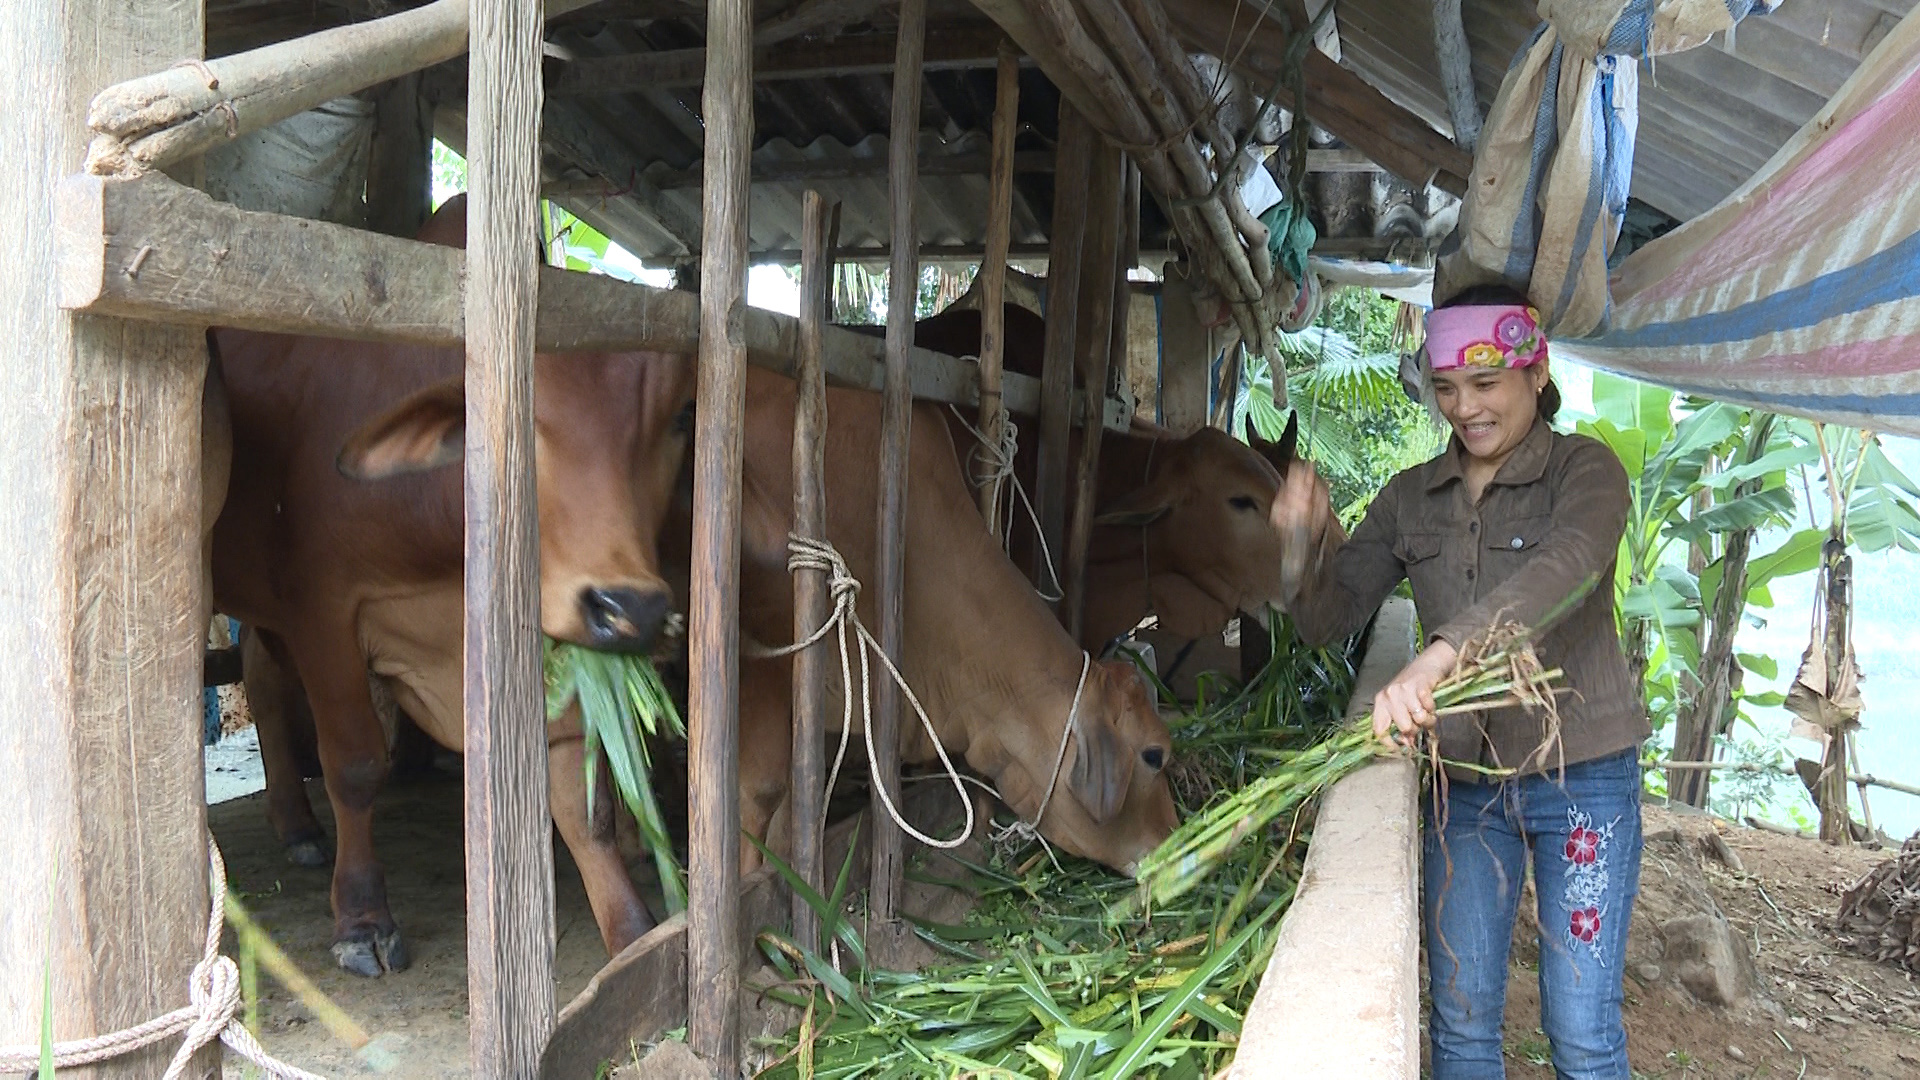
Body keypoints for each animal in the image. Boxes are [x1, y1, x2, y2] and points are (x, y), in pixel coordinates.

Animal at [214, 195, 695, 976]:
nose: (630, 608)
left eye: (680, 417)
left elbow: (578, 799)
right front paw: (362, 918)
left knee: (257, 670)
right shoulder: (321, 612)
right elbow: (355, 764)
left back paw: (296, 824)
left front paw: (632, 936)